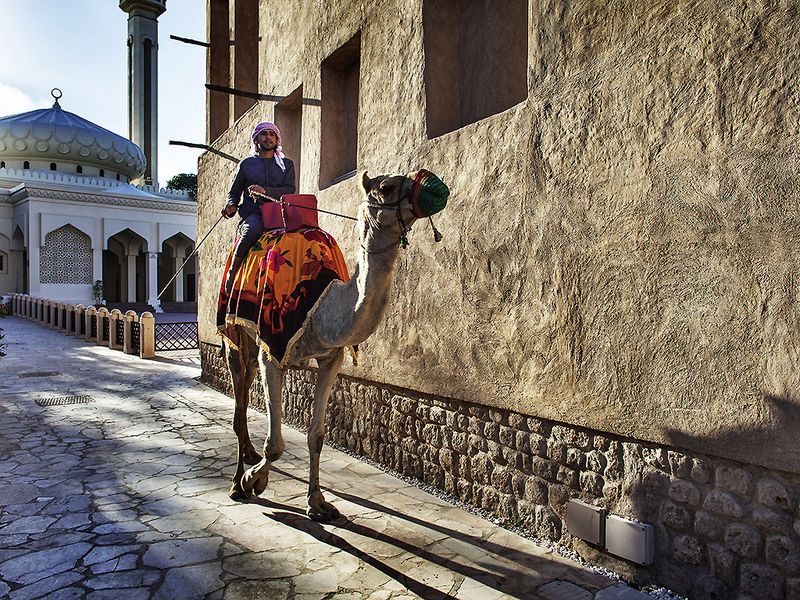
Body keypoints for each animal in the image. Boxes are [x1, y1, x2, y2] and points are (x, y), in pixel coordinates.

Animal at [223, 170, 444, 520]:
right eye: (387, 187)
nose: (436, 189)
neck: (324, 305)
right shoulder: (273, 350)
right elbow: (276, 444)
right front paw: (250, 481)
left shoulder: (331, 358)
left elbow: (316, 436)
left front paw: (318, 503)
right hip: (234, 330)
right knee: (240, 396)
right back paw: (237, 478)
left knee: (246, 385)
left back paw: (249, 453)